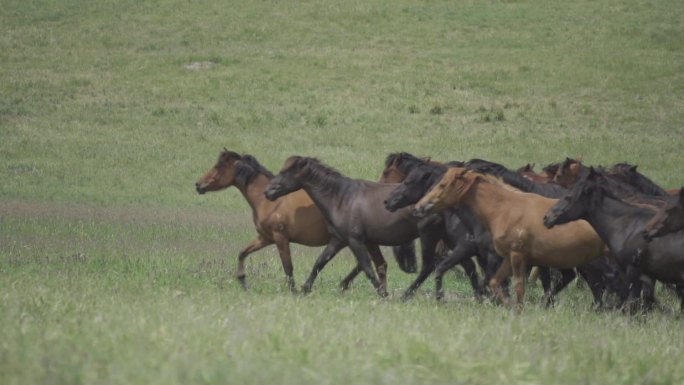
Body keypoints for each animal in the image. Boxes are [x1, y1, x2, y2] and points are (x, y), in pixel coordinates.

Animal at [262, 155, 444, 296]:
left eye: (285, 172)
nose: (267, 192)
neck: (341, 198)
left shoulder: (355, 241)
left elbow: (367, 267)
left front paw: (382, 293)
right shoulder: (340, 240)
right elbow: (320, 262)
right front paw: (305, 289)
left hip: (430, 237)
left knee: (431, 266)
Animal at [414, 166, 608, 308]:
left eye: (442, 185)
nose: (420, 207)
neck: (504, 210)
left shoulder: (510, 256)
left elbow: (512, 285)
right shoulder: (502, 257)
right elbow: (493, 281)